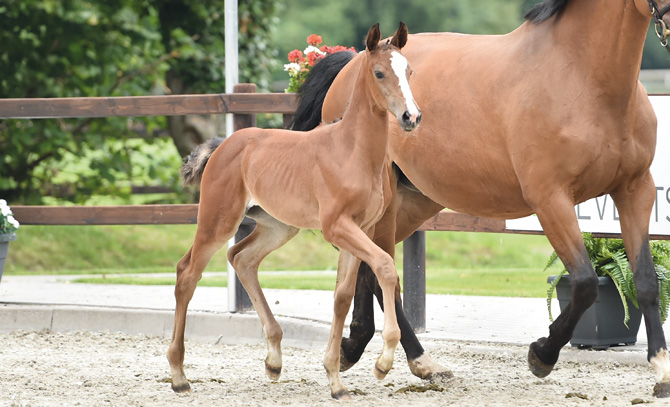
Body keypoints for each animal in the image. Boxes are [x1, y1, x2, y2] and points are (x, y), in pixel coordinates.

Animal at [166, 22, 421, 400]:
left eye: (409, 71)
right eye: (379, 73)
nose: (411, 117)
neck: (353, 151)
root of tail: (223, 145)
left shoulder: (359, 229)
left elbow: (342, 296)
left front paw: (335, 380)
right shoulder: (338, 227)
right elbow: (386, 268)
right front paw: (383, 362)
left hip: (278, 226)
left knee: (242, 259)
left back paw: (274, 359)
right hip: (218, 220)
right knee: (188, 273)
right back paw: (179, 375)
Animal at [292, 0, 670, 398]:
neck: (583, 77)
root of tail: (353, 63)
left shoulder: (635, 190)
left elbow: (646, 281)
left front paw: (661, 369)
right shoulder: (551, 200)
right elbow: (584, 285)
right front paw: (542, 354)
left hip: (412, 202)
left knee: (370, 265)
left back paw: (367, 348)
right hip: (384, 201)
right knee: (379, 269)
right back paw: (408, 357)